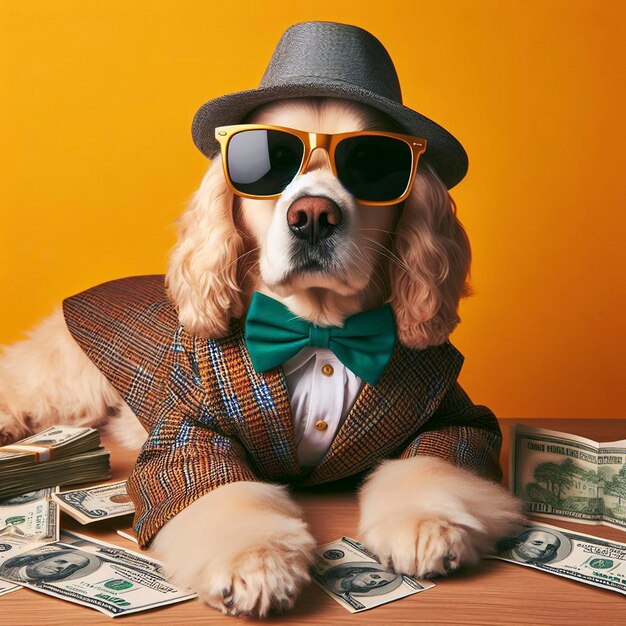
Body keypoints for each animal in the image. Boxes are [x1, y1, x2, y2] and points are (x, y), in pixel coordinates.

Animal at [0, 97, 520, 616]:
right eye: (271, 160)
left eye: (371, 161)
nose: (314, 215)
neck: (318, 330)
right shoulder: (188, 432)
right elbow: (217, 490)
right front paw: (256, 564)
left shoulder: (453, 413)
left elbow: (438, 459)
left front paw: (430, 527)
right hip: (66, 373)